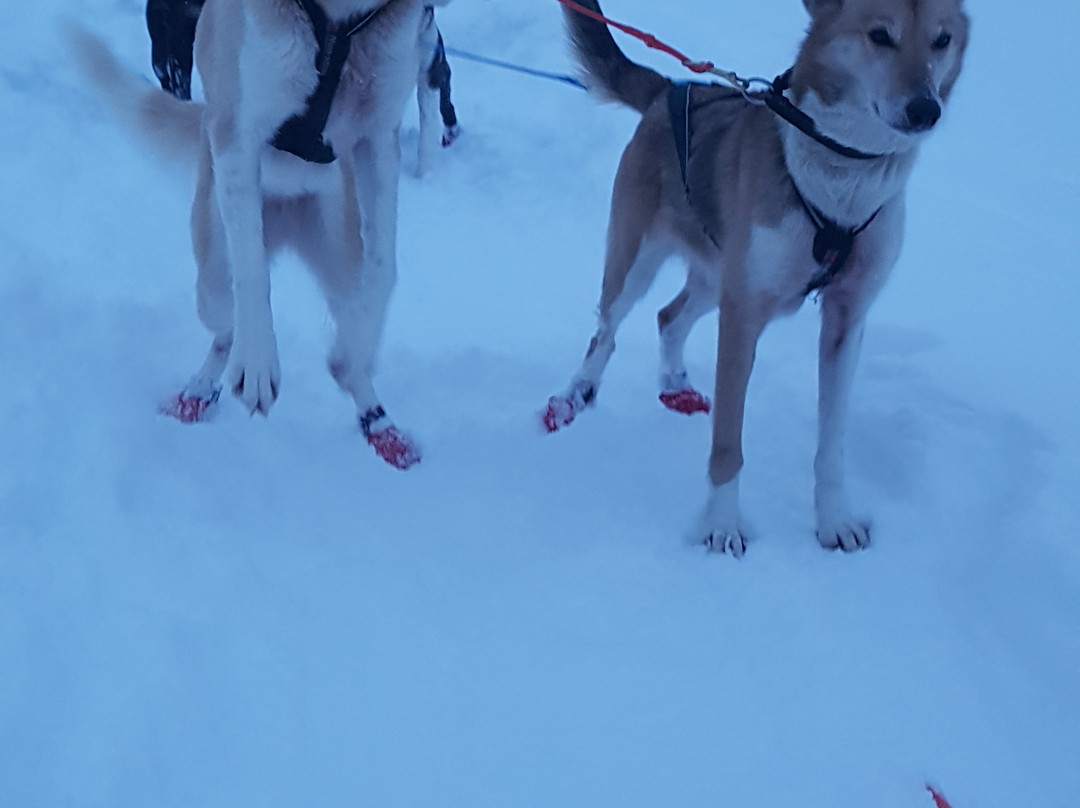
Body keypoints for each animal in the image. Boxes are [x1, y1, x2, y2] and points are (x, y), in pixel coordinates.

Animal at [70, 0, 451, 466]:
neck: (338, 19)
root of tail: (286, 226)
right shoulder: (239, 132)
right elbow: (252, 272)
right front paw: (256, 366)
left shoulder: (377, 136)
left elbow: (383, 272)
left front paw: (350, 357)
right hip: (212, 276)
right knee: (225, 326)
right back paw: (198, 392)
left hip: (338, 254)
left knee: (351, 305)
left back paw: (378, 421)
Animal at [548, 0, 972, 553]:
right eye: (881, 35)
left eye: (941, 40)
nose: (926, 109)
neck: (842, 177)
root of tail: (670, 89)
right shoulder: (743, 315)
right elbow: (728, 444)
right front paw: (722, 526)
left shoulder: (846, 319)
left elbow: (831, 446)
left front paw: (834, 521)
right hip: (638, 262)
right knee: (606, 330)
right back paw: (573, 396)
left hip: (717, 274)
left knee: (669, 316)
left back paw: (676, 385)